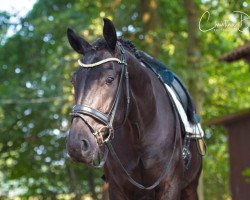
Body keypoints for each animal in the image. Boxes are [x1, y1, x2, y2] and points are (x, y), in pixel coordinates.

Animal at [66, 18, 201, 199]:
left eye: (109, 79)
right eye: (74, 80)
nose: (77, 145)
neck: (140, 133)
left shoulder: (170, 186)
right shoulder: (117, 188)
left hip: (190, 187)